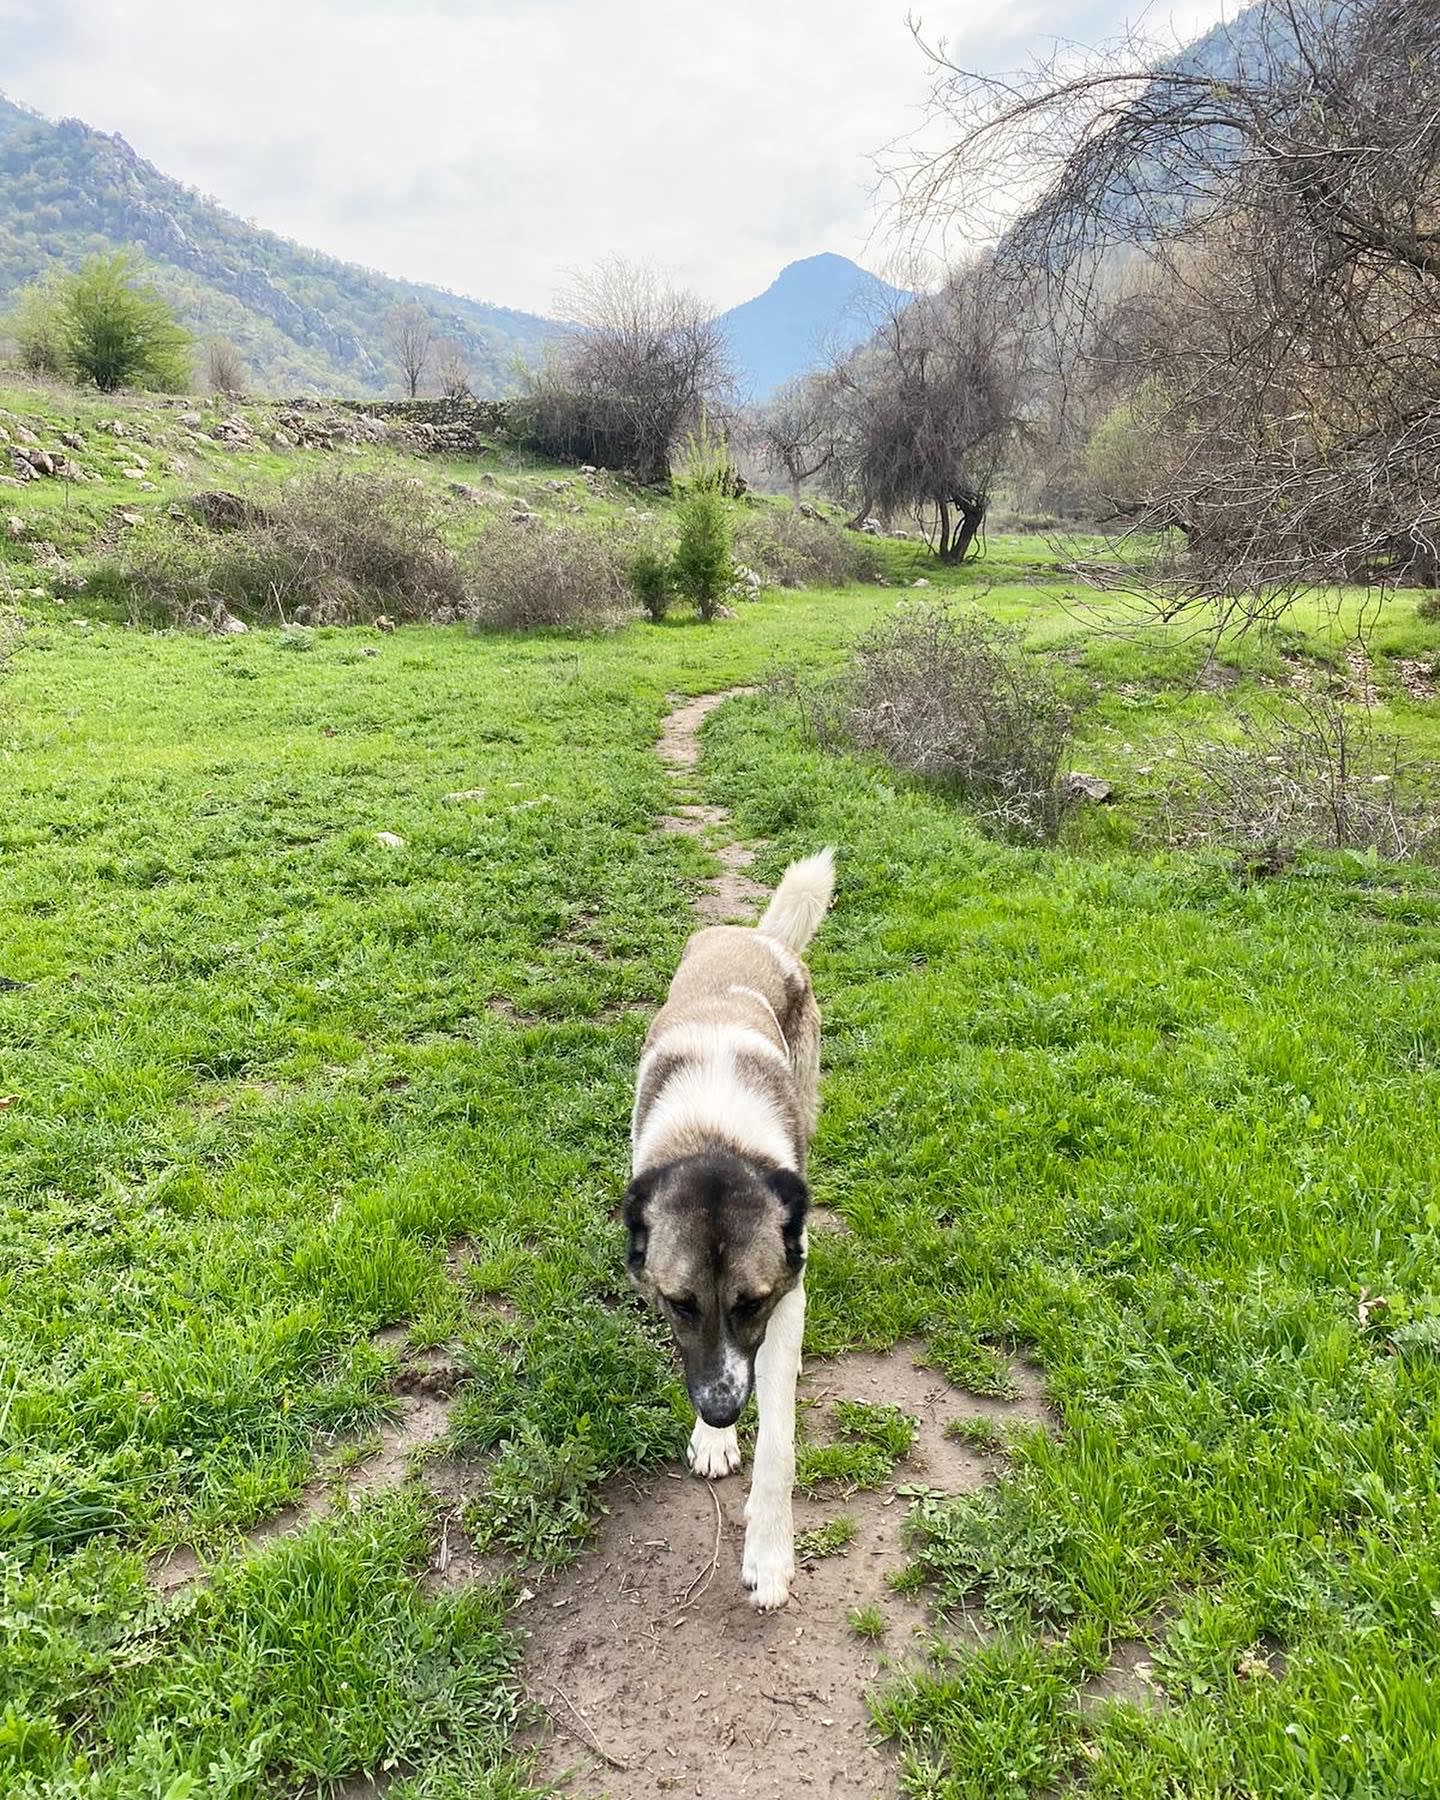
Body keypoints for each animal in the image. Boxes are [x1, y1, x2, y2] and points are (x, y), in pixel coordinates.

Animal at [619, 849, 831, 1612]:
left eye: (753, 1302)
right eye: (678, 1304)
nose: (716, 1412)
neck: (714, 1141)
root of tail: (755, 936)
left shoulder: (786, 1299)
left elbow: (780, 1445)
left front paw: (768, 1554)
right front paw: (715, 1441)